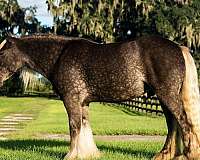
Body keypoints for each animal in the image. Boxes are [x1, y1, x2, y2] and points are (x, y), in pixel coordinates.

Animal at [0, 34, 200, 159]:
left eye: (1, 52)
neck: (60, 56)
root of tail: (179, 47)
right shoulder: (83, 103)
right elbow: (85, 126)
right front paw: (88, 154)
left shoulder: (71, 99)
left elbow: (74, 126)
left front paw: (71, 155)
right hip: (164, 98)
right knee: (173, 125)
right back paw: (164, 155)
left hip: (167, 95)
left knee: (184, 122)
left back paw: (188, 155)